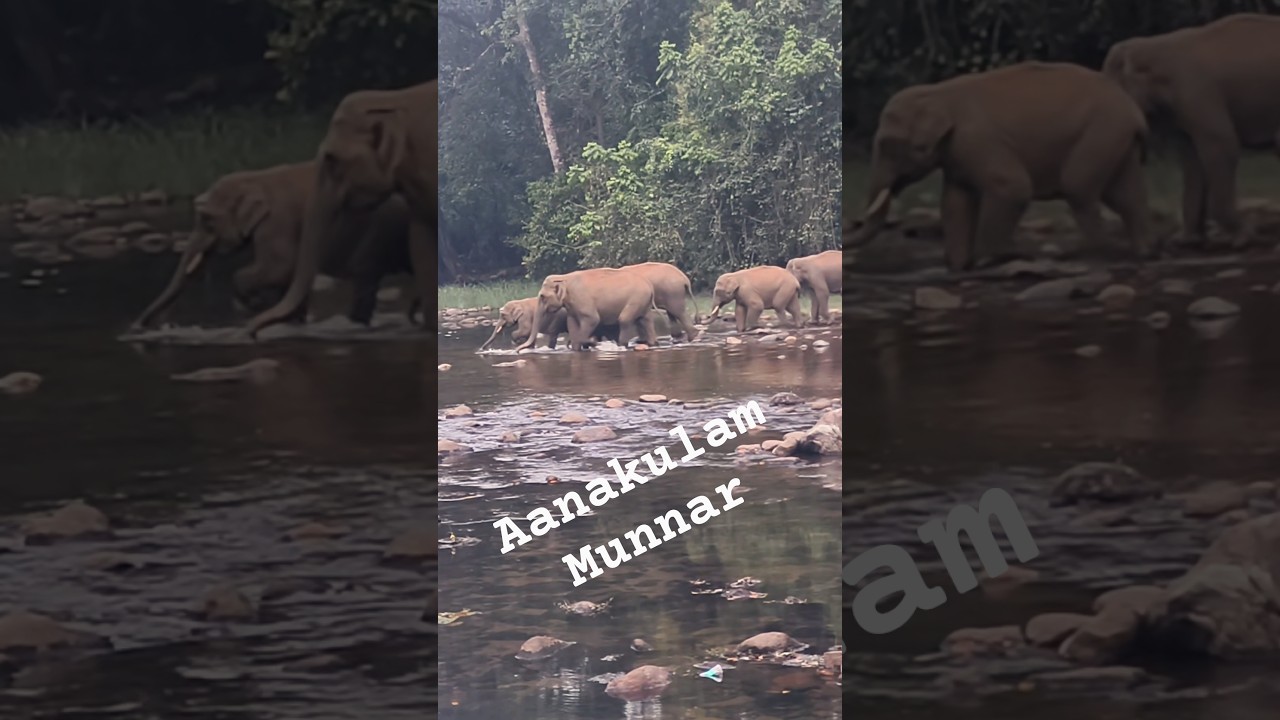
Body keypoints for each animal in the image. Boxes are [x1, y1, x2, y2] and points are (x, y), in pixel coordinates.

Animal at [132, 161, 415, 329]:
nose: (140, 327)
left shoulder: (277, 221)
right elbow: (290, 277)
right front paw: (289, 321)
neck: (256, 178)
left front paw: (255, 306)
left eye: (207, 220)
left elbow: (281, 267)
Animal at [478, 297, 621, 350]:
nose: (483, 349)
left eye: (502, 315)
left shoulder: (526, 317)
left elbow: (525, 330)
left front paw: (516, 342)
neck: (519, 302)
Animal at [515, 269, 658, 352]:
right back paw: (651, 343)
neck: (564, 278)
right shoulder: (572, 306)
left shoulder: (581, 298)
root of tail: (649, 285)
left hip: (637, 299)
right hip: (643, 302)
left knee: (624, 319)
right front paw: (576, 348)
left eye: (542, 296)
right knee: (645, 320)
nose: (517, 350)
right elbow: (572, 323)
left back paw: (621, 345)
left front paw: (592, 342)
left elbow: (592, 319)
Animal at [845, 62, 1155, 271]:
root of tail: (1134, 112)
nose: (850, 225)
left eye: (886, 144)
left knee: (1079, 188)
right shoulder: (956, 154)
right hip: (1118, 141)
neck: (938, 92)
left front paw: (991, 259)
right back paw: (1140, 253)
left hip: (1100, 134)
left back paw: (1093, 255)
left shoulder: (977, 140)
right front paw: (959, 266)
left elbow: (1013, 187)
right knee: (1126, 196)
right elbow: (956, 202)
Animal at [1102, 14, 1280, 246]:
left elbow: (1223, 146)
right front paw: (1186, 240)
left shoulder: (1197, 92)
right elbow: (1191, 160)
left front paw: (1243, 238)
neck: (1152, 44)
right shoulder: (1182, 110)